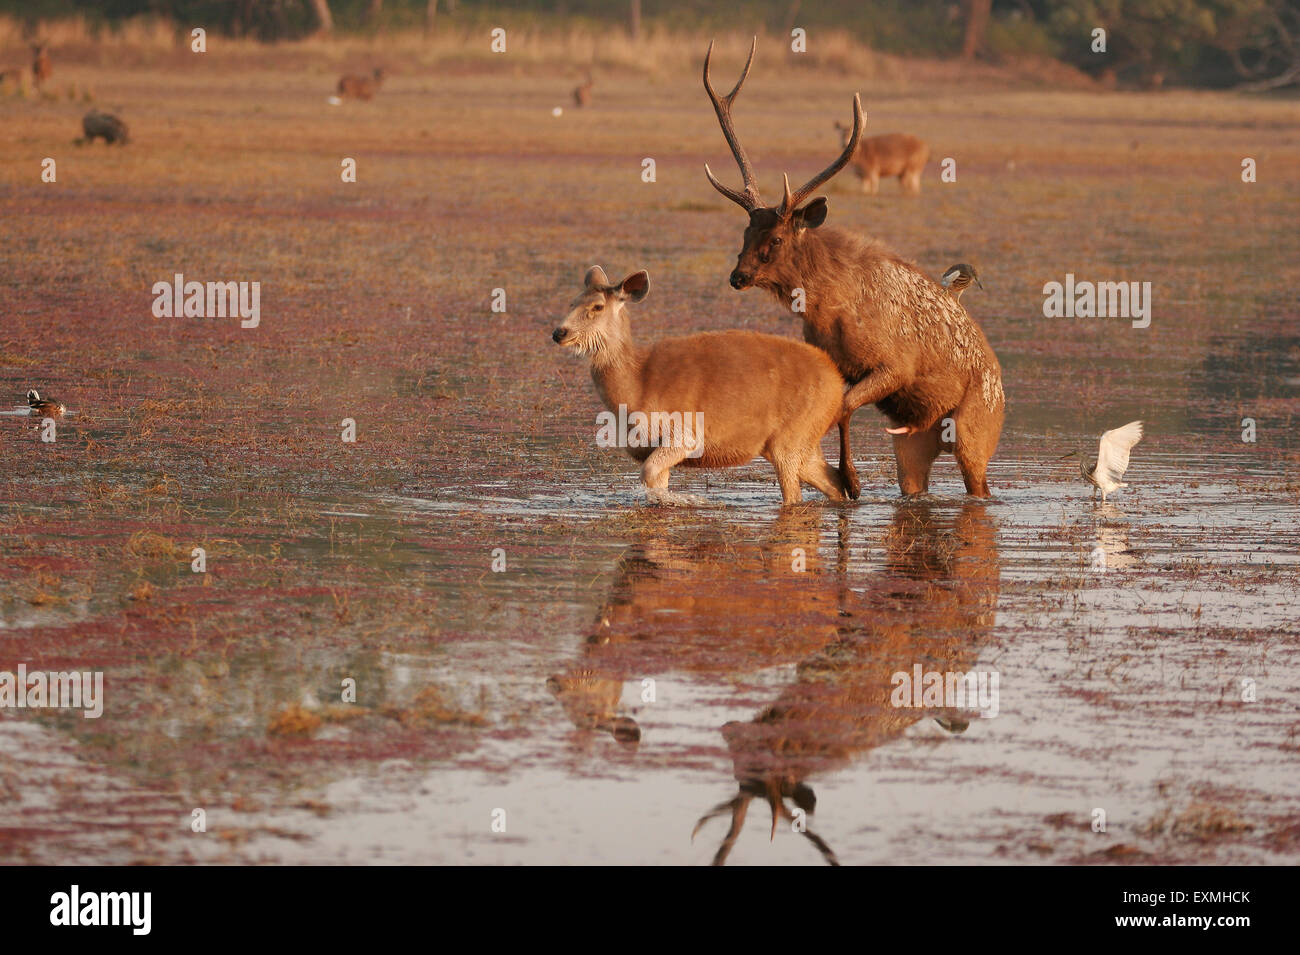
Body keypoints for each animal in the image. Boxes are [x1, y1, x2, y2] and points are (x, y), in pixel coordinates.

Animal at [553, 265, 857, 504]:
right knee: (834, 480)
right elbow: (656, 481)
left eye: (597, 306)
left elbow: (649, 473)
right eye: (571, 303)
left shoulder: (685, 431)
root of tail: (836, 382)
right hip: (802, 440)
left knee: (796, 494)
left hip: (793, 435)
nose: (559, 332)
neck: (636, 387)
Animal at [702, 39, 1003, 493]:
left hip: (976, 431)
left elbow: (843, 407)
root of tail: (1000, 382)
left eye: (776, 239)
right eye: (745, 233)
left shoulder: (895, 365)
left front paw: (852, 478)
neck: (830, 310)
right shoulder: (838, 365)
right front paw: (844, 477)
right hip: (912, 444)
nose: (738, 277)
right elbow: (836, 407)